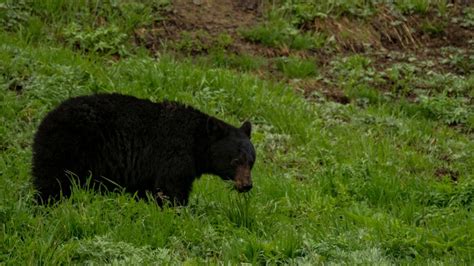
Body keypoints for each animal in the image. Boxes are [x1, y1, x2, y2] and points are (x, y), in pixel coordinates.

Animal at [31, 93, 256, 206]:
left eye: (251, 162)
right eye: (235, 161)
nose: (246, 185)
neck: (195, 143)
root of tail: (47, 118)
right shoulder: (174, 156)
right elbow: (171, 188)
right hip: (67, 148)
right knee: (53, 182)